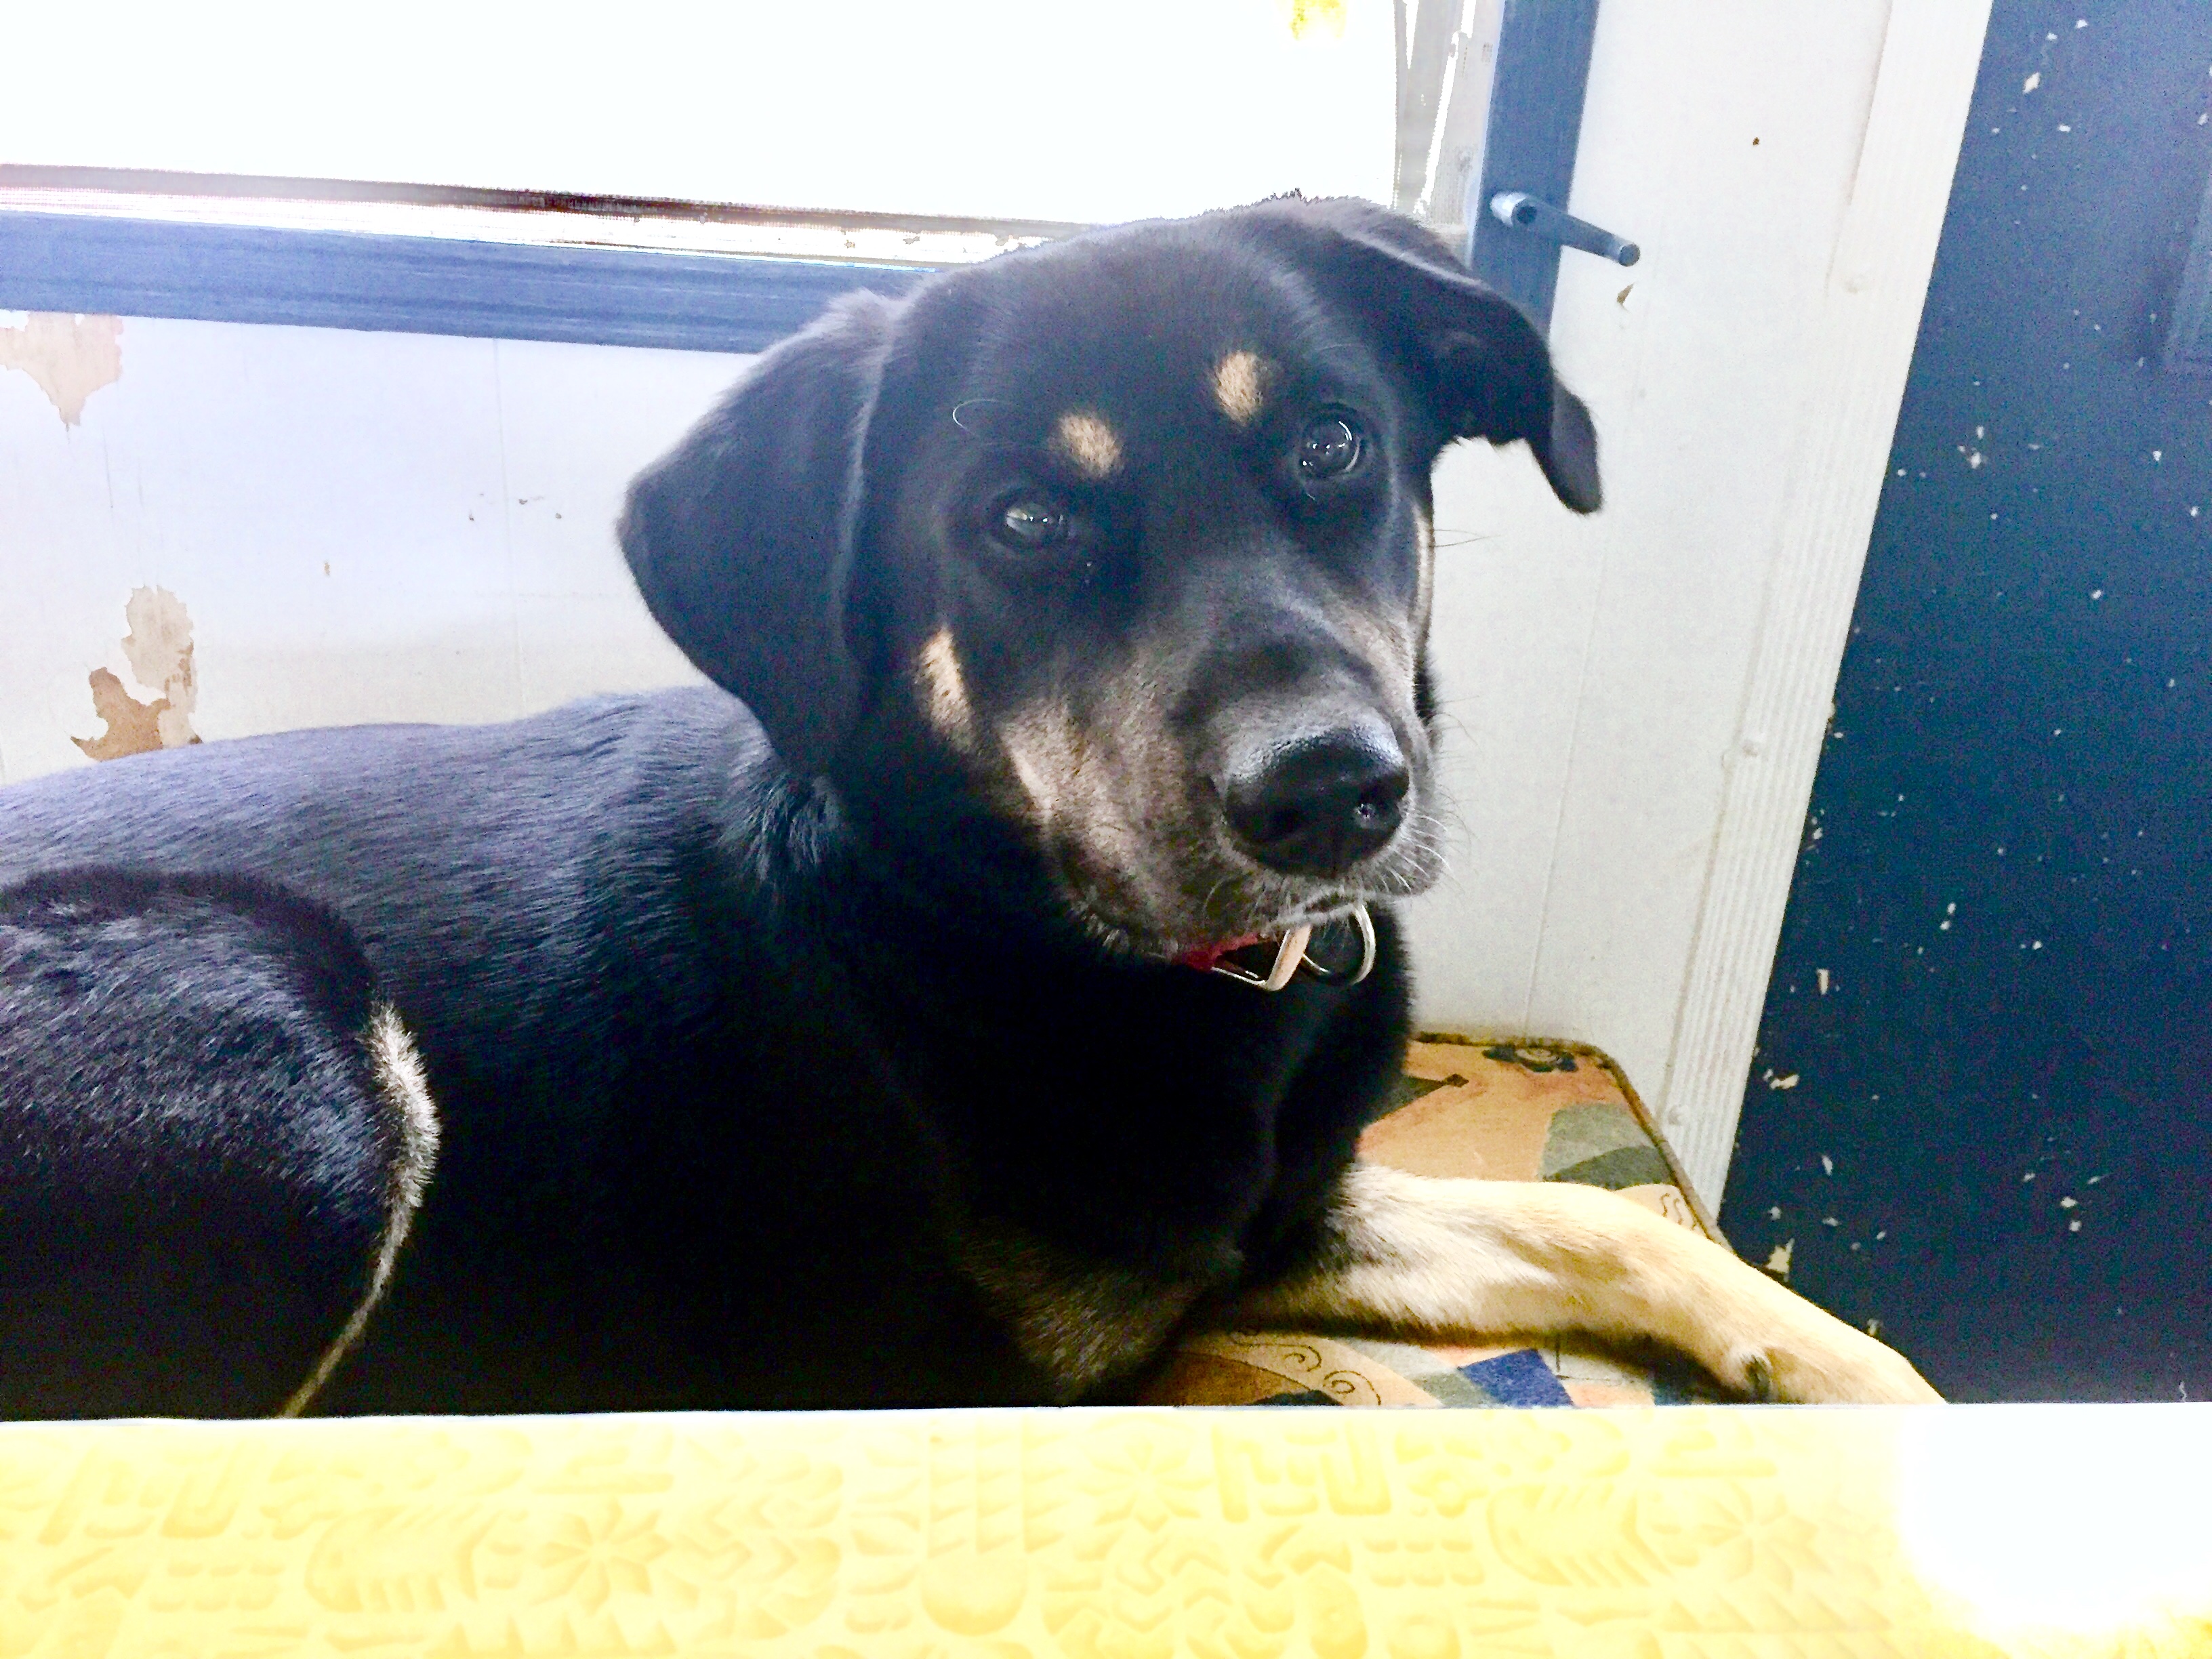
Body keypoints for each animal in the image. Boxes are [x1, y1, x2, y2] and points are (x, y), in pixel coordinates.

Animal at [0, 197, 1939, 1414]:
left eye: (1331, 443)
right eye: (1022, 517)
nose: (1335, 796)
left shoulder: (1273, 1217)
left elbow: (1598, 1218)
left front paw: (1871, 1381)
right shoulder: (957, 1387)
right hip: (285, 1034)